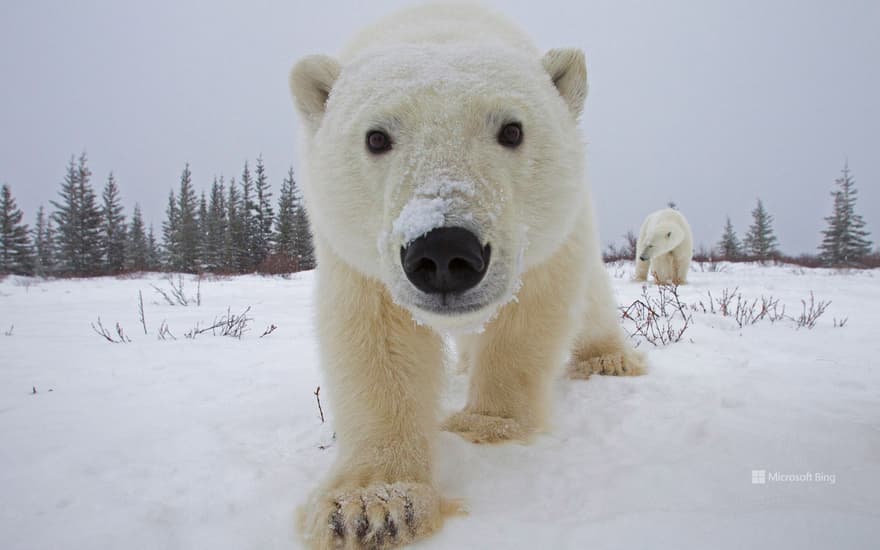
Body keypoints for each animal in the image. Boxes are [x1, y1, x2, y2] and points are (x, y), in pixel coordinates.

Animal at [290, 3, 648, 548]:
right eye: (376, 136)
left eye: (512, 130)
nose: (443, 253)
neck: (441, 22)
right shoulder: (355, 254)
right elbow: (377, 340)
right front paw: (372, 506)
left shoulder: (545, 239)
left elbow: (528, 316)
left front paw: (485, 424)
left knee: (591, 299)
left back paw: (607, 358)